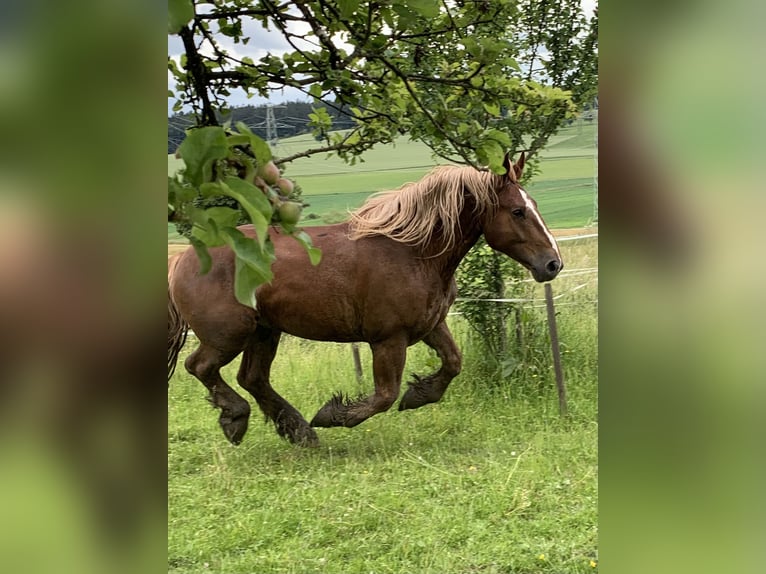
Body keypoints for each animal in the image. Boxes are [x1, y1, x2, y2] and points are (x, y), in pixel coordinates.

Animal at [170, 154, 564, 450]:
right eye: (517, 211)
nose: (553, 264)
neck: (412, 252)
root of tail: (182, 259)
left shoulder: (431, 325)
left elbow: (453, 363)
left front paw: (419, 394)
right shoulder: (388, 339)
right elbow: (385, 395)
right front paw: (333, 415)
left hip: (264, 331)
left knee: (252, 378)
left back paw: (299, 432)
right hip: (228, 335)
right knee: (200, 367)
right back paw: (237, 419)